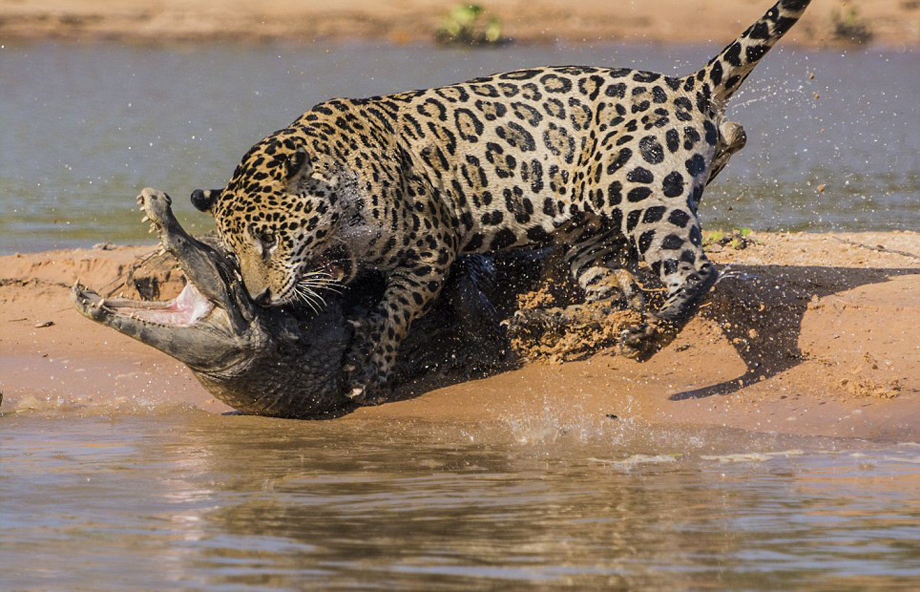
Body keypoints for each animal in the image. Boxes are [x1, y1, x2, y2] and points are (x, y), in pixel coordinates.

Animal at [191, 0, 812, 402]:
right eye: (234, 250)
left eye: (269, 240)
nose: (259, 297)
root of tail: (686, 85)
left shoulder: (431, 250)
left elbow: (394, 310)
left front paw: (368, 369)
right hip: (588, 228)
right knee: (618, 290)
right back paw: (544, 320)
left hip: (643, 190)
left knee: (696, 270)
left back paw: (647, 338)